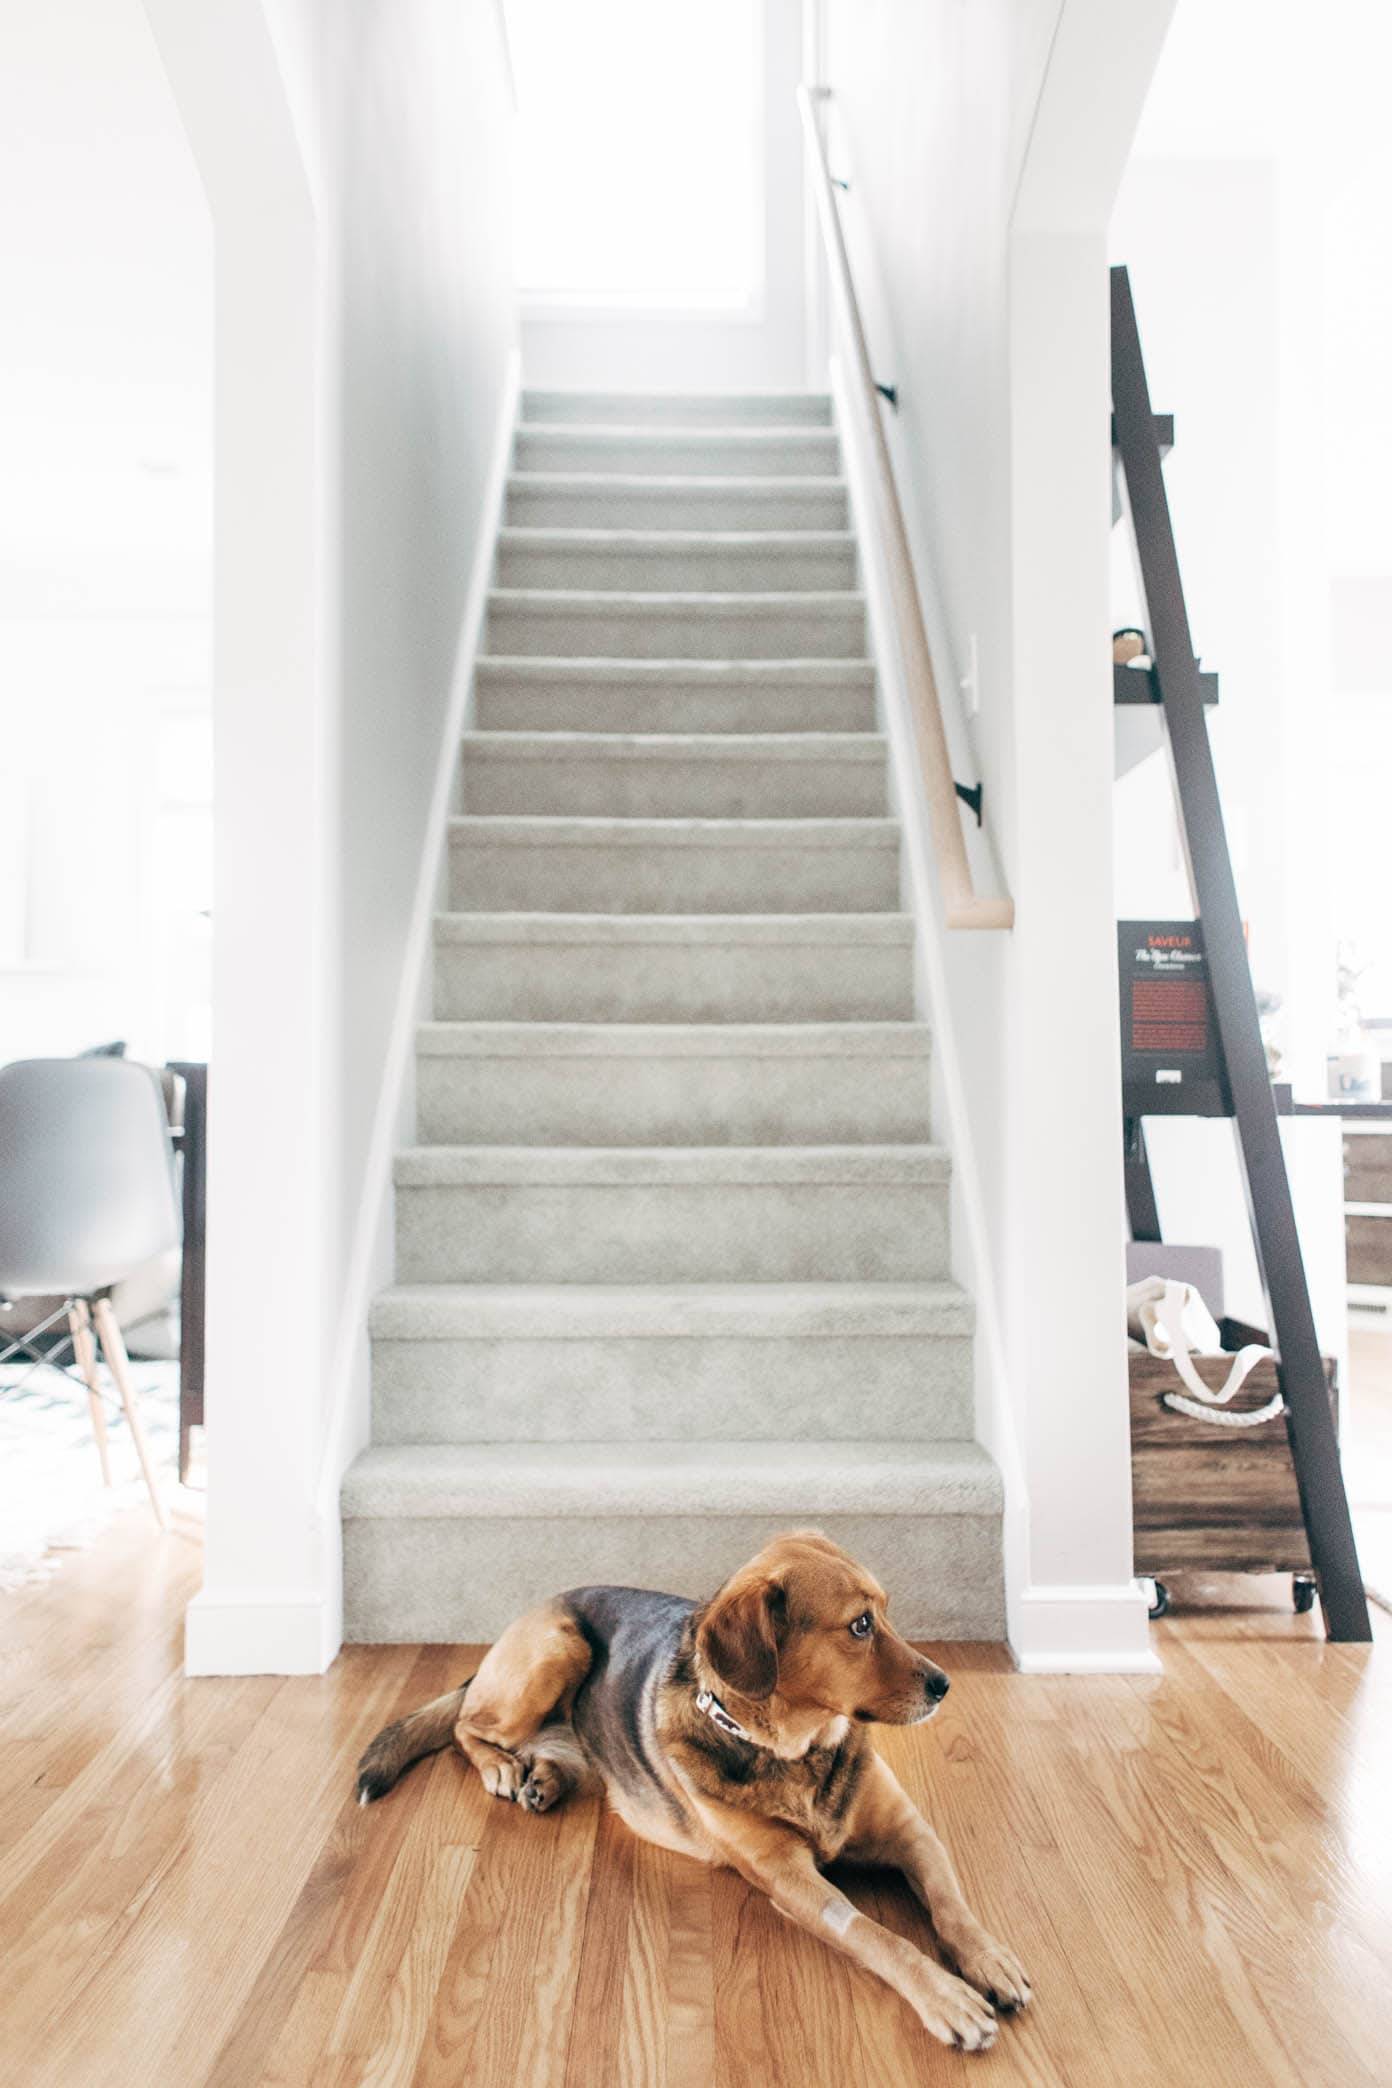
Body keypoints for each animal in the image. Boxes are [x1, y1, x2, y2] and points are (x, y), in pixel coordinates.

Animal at [358, 1528, 1035, 2046]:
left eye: (886, 1612)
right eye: (861, 1626)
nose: (945, 1685)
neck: (794, 1750)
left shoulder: (911, 1832)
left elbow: (951, 1904)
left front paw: (990, 1959)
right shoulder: (788, 1878)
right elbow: (877, 1936)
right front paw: (945, 1996)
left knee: (546, 1746)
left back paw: (542, 1778)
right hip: (558, 1648)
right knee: (467, 1726)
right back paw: (502, 1768)